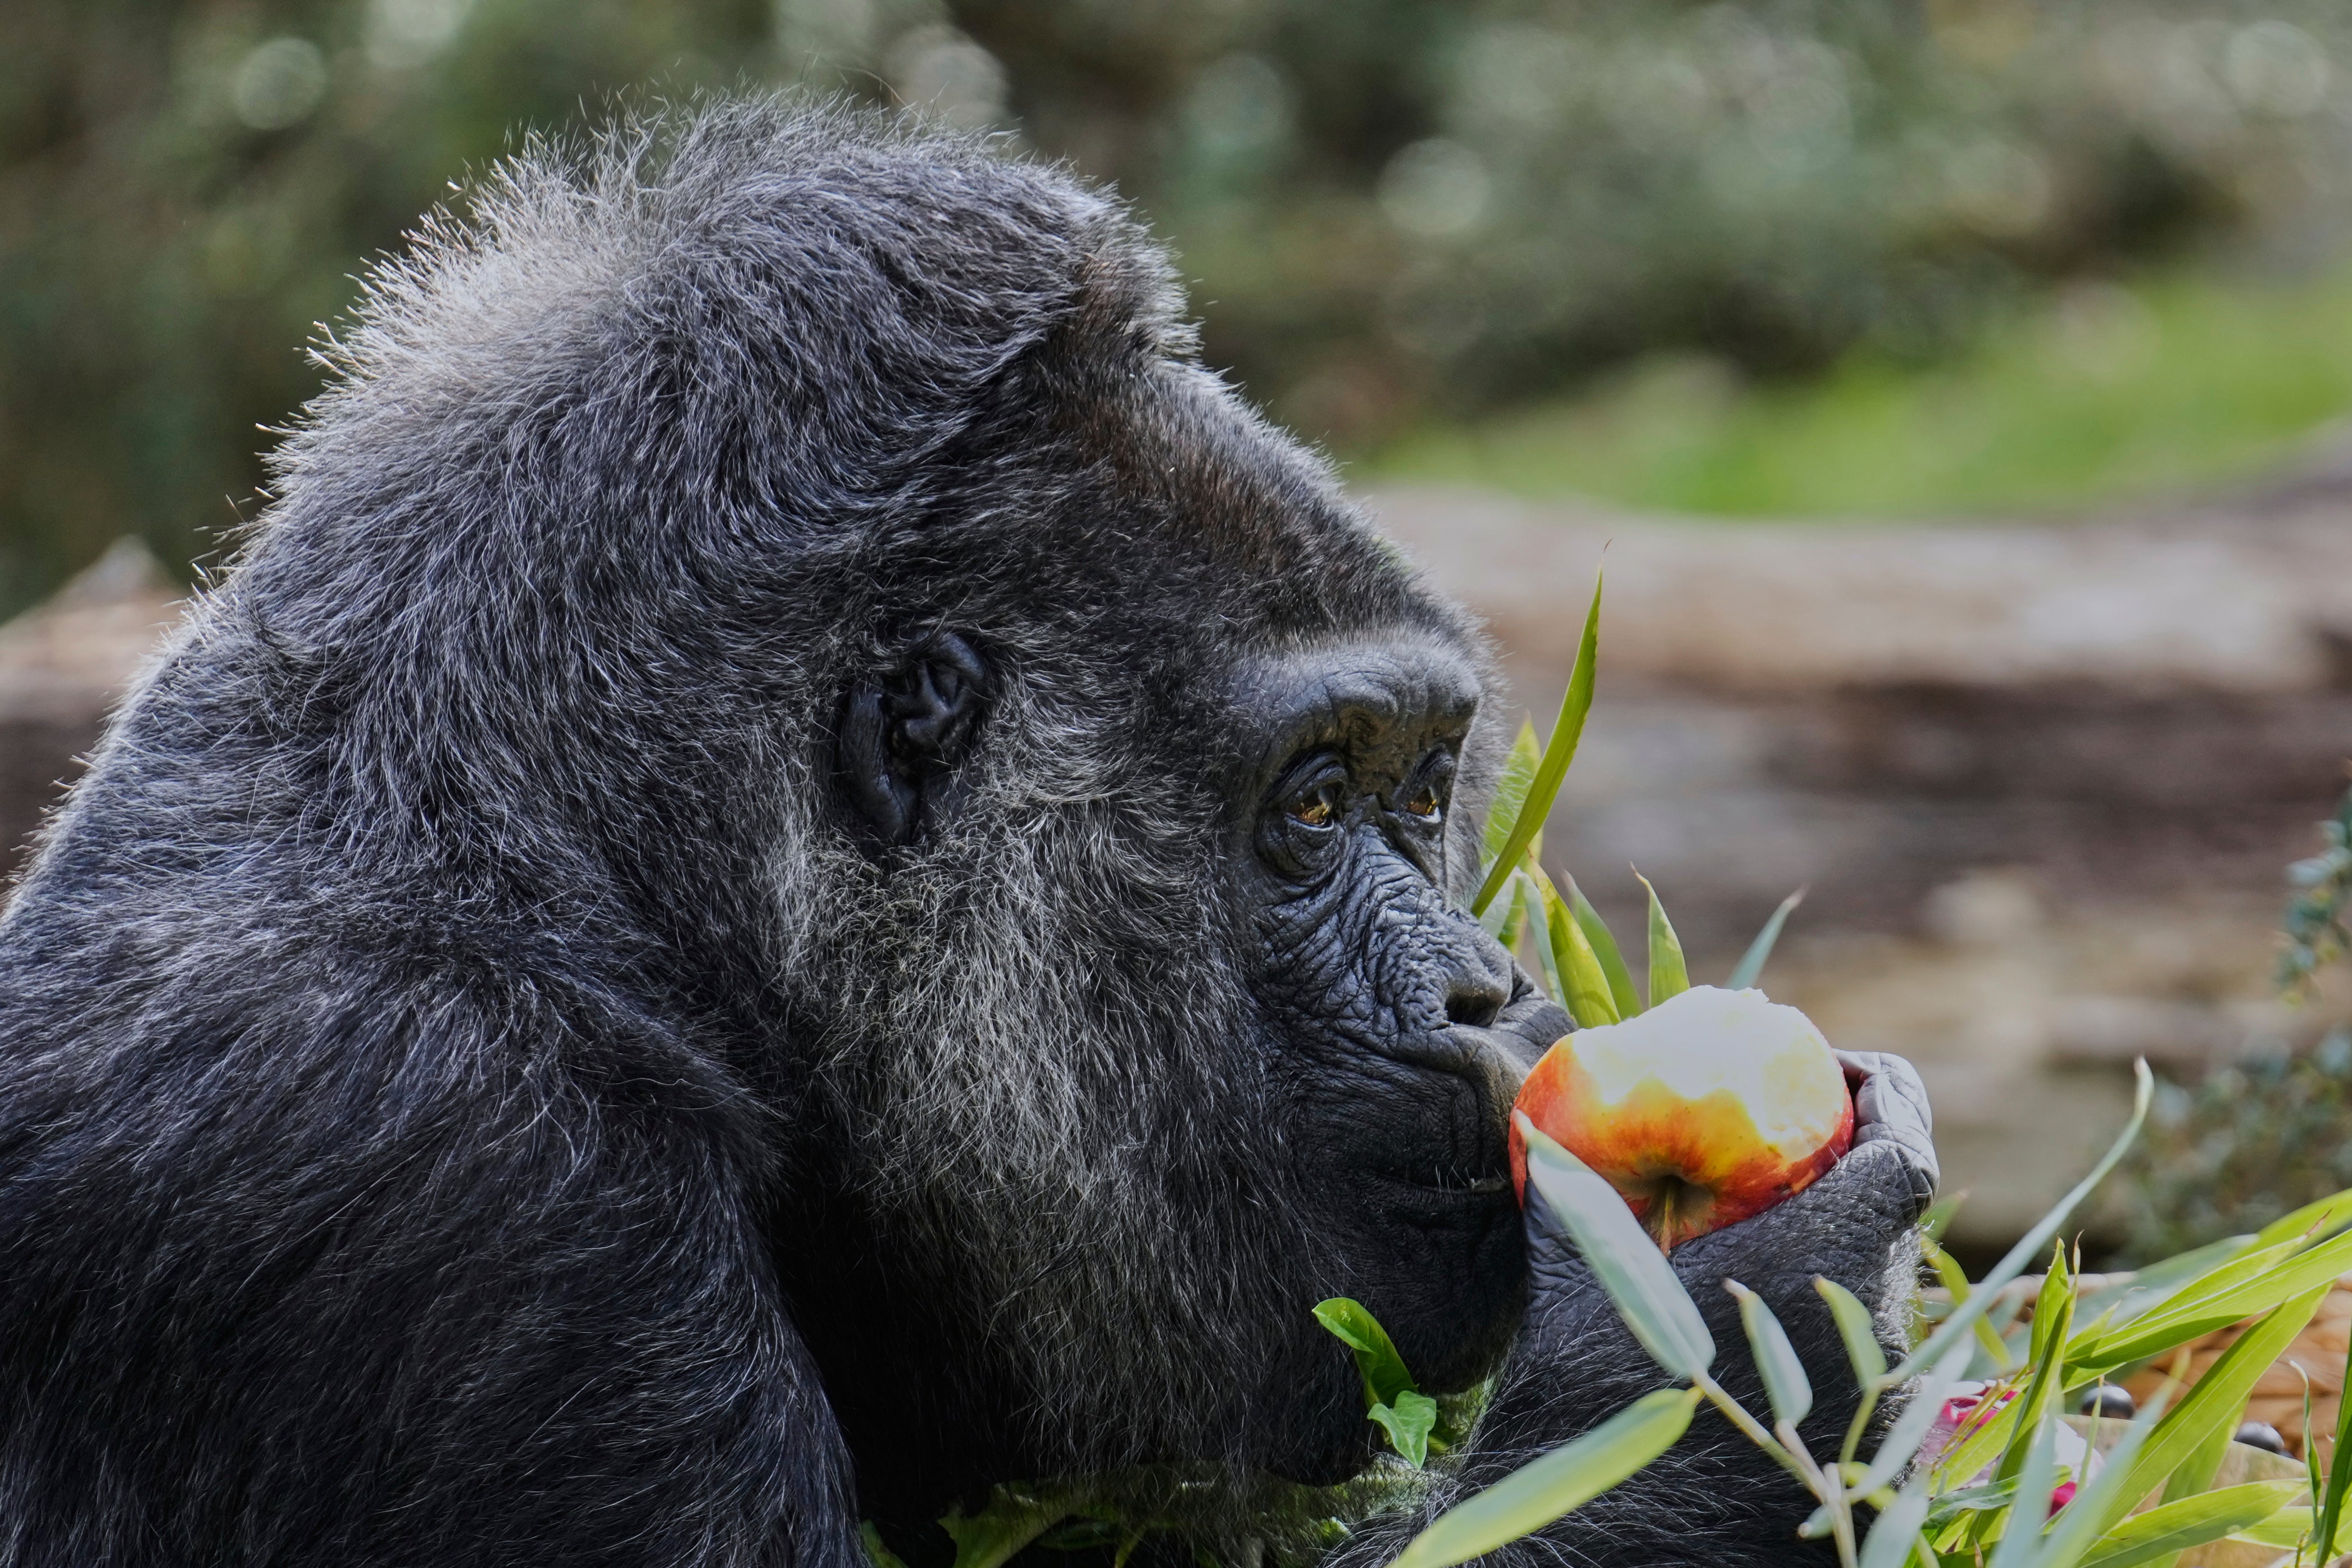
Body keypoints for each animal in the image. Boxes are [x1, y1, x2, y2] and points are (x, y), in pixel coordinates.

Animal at [0, 99, 1934, 1567]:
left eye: (1415, 787)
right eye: (1311, 802)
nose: (1479, 986)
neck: (615, 893)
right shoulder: (435, 1164)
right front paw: (1737, 1332)